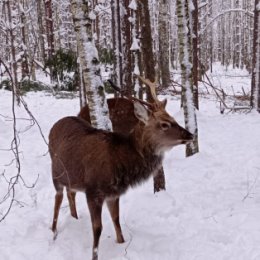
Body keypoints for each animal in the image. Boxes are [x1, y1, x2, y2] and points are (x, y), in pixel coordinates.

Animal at [48, 77, 193, 260]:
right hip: (55, 172)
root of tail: (55, 124)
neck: (120, 162)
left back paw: (74, 218)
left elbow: (116, 219)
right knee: (57, 198)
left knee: (70, 192)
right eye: (165, 124)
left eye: (174, 119)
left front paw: (121, 243)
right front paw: (94, 256)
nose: (190, 135)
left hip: (72, 177)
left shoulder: (113, 193)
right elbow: (98, 228)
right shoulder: (93, 191)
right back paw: (53, 232)